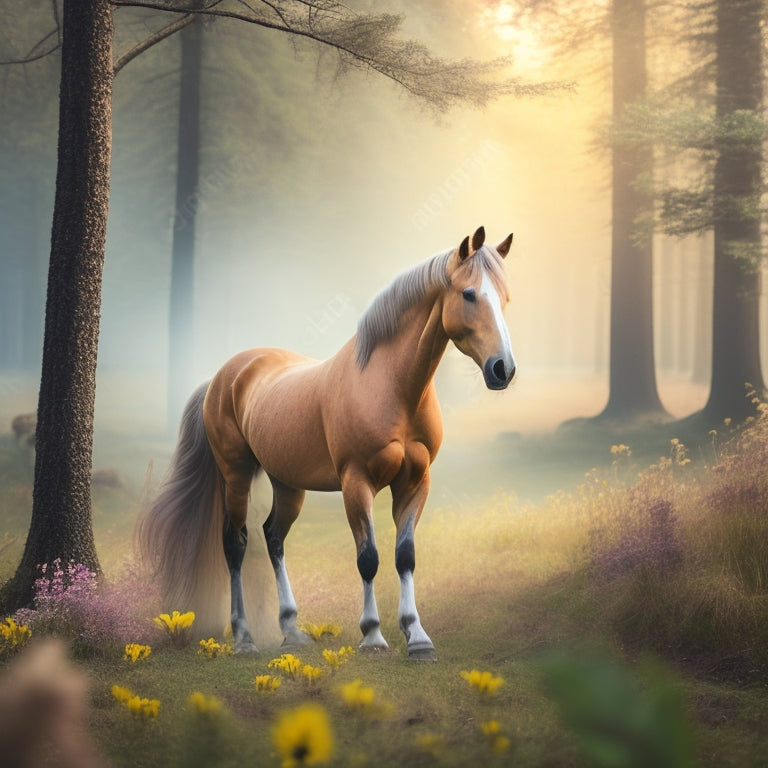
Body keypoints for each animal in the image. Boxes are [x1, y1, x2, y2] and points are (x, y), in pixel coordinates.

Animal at [137, 225, 515, 661]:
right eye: (469, 294)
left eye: (505, 297)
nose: (503, 369)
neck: (388, 386)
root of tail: (223, 376)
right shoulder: (356, 482)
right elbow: (368, 558)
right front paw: (372, 636)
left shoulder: (415, 481)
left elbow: (405, 557)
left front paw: (418, 638)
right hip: (236, 475)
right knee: (236, 544)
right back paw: (245, 638)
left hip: (288, 484)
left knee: (273, 537)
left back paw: (291, 630)